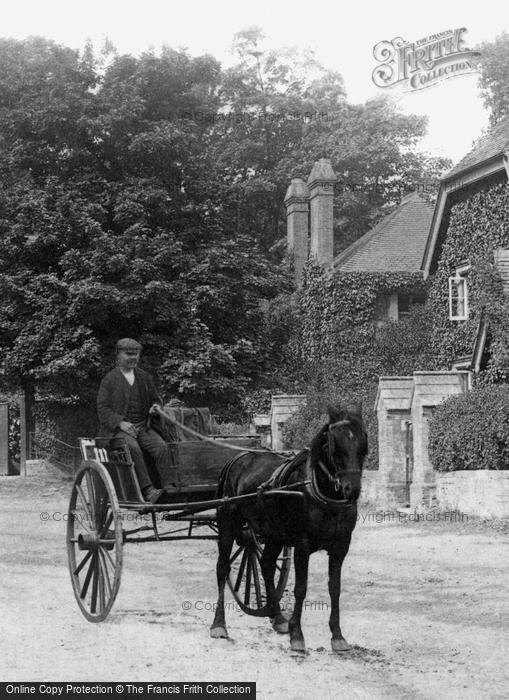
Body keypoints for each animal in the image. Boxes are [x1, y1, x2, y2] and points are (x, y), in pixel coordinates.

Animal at [208, 402, 368, 652]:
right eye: (335, 447)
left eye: (363, 445)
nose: (352, 489)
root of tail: (238, 458)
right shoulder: (302, 545)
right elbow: (300, 589)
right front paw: (297, 635)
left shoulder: (340, 546)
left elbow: (335, 589)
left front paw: (337, 635)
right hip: (228, 524)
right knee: (222, 568)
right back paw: (219, 624)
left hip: (274, 533)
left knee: (266, 564)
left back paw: (278, 618)